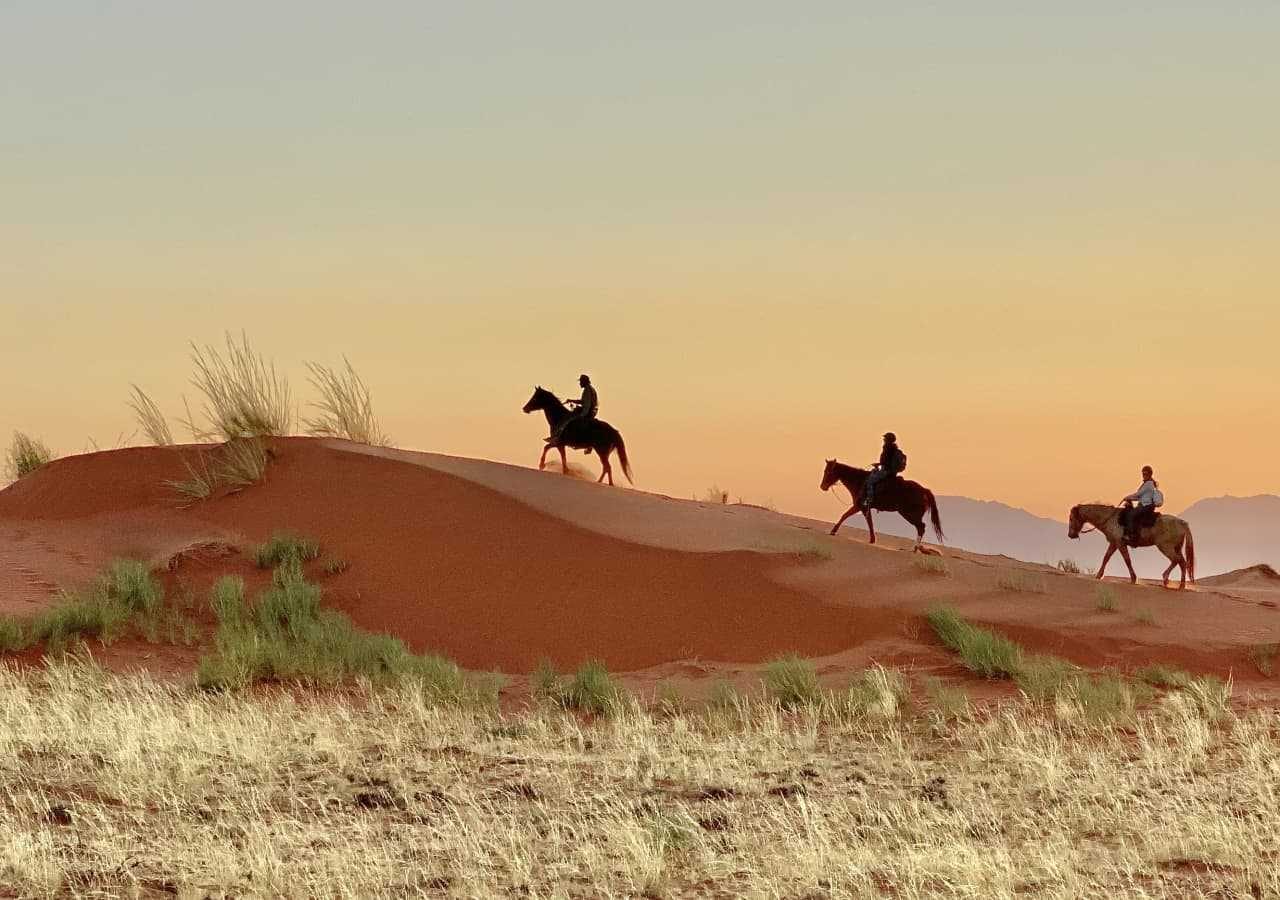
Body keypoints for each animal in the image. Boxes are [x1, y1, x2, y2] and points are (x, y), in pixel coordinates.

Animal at [1064, 504, 1192, 588]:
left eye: (1071, 518)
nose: (1071, 535)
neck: (1110, 518)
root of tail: (1182, 523)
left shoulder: (1120, 543)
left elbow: (1127, 560)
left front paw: (1134, 579)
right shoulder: (1114, 543)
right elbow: (1106, 558)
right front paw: (1099, 575)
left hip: (1165, 547)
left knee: (1178, 561)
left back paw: (1170, 580)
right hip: (1176, 547)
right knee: (1182, 562)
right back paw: (1179, 584)